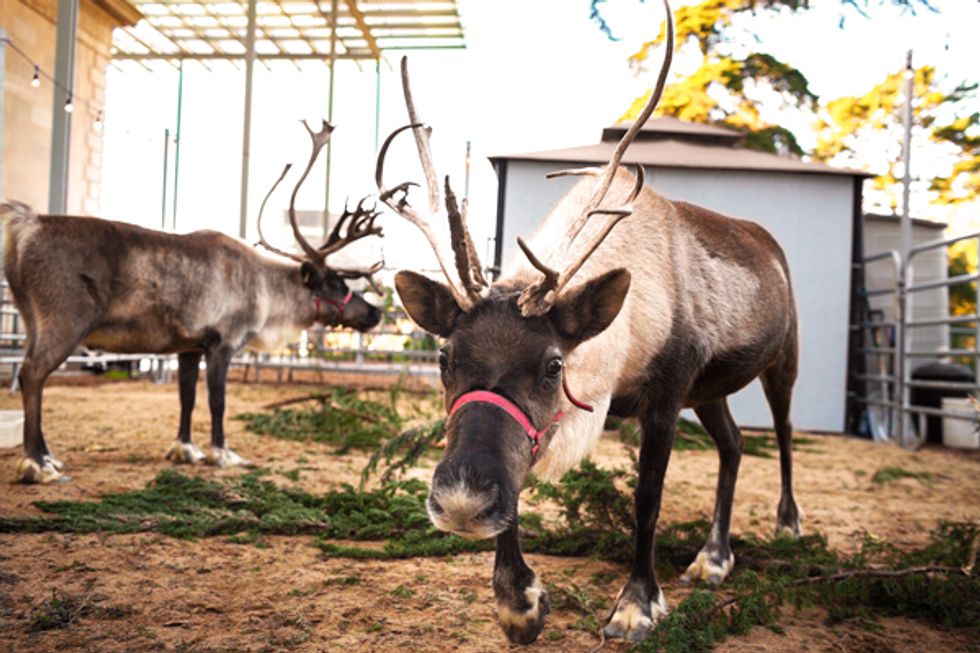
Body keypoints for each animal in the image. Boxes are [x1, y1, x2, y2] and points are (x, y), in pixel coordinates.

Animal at [2, 120, 383, 484]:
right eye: (335, 281)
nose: (376, 312)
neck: (265, 291)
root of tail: (27, 225)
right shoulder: (222, 343)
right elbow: (217, 401)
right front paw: (222, 453)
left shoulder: (188, 346)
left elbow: (186, 397)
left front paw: (184, 449)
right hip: (64, 322)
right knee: (32, 373)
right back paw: (36, 464)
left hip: (32, 322)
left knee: (33, 374)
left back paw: (48, 455)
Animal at [376, 2, 802, 644]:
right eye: (444, 356)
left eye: (554, 365)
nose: (462, 503)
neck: (617, 359)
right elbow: (516, 486)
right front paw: (520, 603)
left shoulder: (666, 391)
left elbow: (647, 498)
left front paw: (636, 604)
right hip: (711, 390)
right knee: (731, 445)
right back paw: (713, 557)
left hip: (781, 360)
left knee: (781, 432)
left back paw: (787, 524)